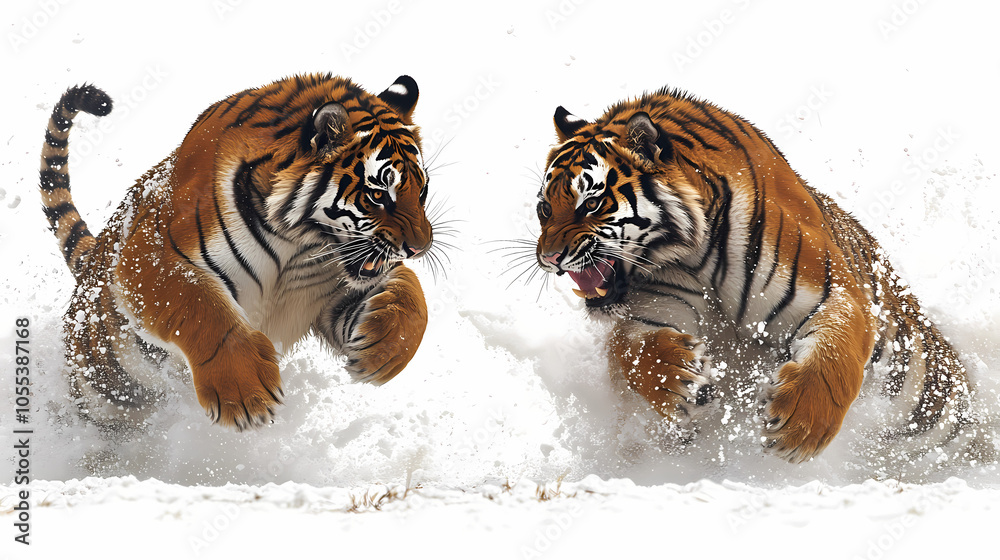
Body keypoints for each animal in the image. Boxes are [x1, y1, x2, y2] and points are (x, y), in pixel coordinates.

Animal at [39, 74, 434, 434]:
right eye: (378, 195)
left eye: (422, 191)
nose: (420, 247)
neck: (300, 243)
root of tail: (90, 262)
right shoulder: (149, 257)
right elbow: (202, 307)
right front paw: (245, 394)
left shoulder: (329, 291)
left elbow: (412, 293)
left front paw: (384, 351)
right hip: (103, 391)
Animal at [533, 87, 982, 464]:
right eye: (544, 209)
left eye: (590, 205)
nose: (549, 258)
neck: (690, 255)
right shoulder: (652, 310)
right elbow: (631, 352)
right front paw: (679, 382)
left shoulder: (832, 294)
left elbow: (834, 359)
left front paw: (800, 427)